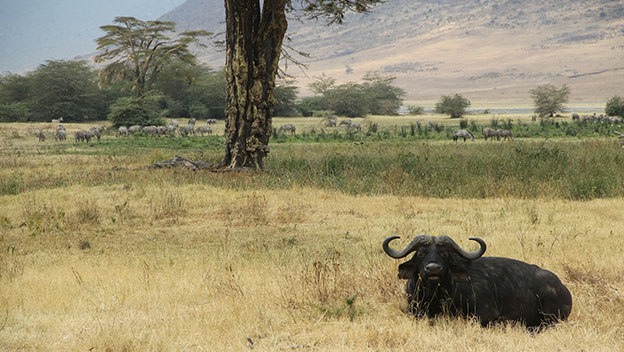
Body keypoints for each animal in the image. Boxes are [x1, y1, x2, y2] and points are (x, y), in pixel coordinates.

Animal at [382, 235, 572, 328]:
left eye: (444, 254)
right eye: (421, 253)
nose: (433, 269)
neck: (436, 295)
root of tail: (563, 288)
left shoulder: (486, 313)